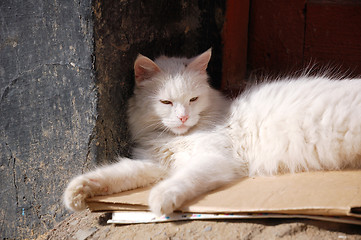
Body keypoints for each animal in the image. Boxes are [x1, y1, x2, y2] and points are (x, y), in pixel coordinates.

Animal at [64, 48, 360, 216]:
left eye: (193, 99)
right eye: (166, 102)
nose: (183, 117)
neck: (176, 137)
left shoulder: (213, 159)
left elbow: (183, 179)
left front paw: (160, 200)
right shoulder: (153, 163)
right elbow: (114, 174)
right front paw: (76, 193)